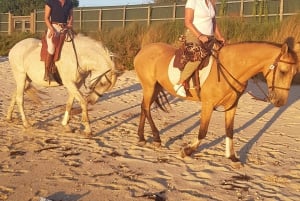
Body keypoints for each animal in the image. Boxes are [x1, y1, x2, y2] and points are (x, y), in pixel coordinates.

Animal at [134, 39, 300, 166]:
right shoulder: (208, 105)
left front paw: (232, 158)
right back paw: (156, 138)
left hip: (155, 87)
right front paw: (187, 151)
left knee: (143, 107)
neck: (231, 67)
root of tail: (143, 50)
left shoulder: (231, 106)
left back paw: (142, 138)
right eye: (283, 71)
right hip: (149, 86)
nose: (280, 101)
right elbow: (203, 131)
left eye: (294, 74)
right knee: (147, 109)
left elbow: (229, 130)